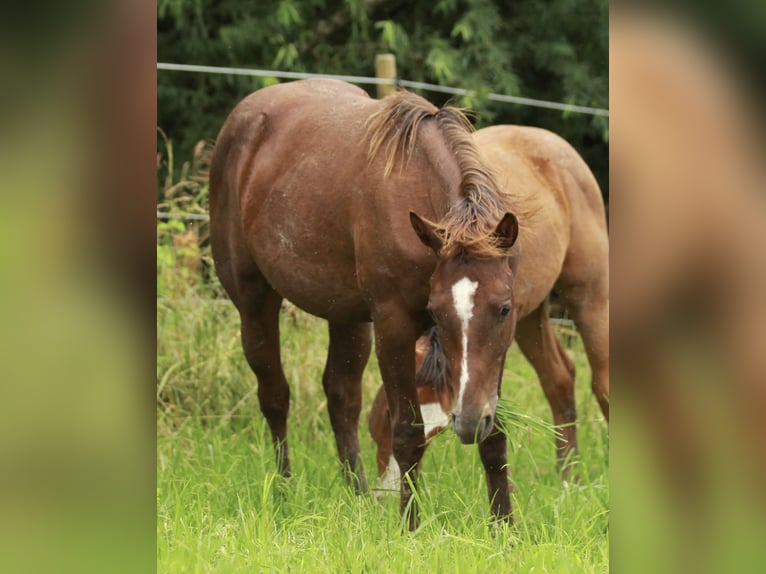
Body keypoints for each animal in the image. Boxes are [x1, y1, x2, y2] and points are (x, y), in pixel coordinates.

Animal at [210, 81, 520, 532]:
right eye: (437, 312)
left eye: (504, 309)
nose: (465, 423)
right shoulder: (393, 325)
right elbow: (407, 433)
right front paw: (410, 527)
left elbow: (494, 436)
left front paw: (504, 530)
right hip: (254, 304)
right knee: (274, 396)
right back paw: (284, 491)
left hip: (349, 318)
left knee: (341, 397)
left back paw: (356, 497)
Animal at [368, 125, 608, 486]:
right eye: (435, 311)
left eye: (501, 309)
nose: (384, 492)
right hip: (530, 318)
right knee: (559, 379)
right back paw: (568, 478)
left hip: (588, 296)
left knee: (602, 381)